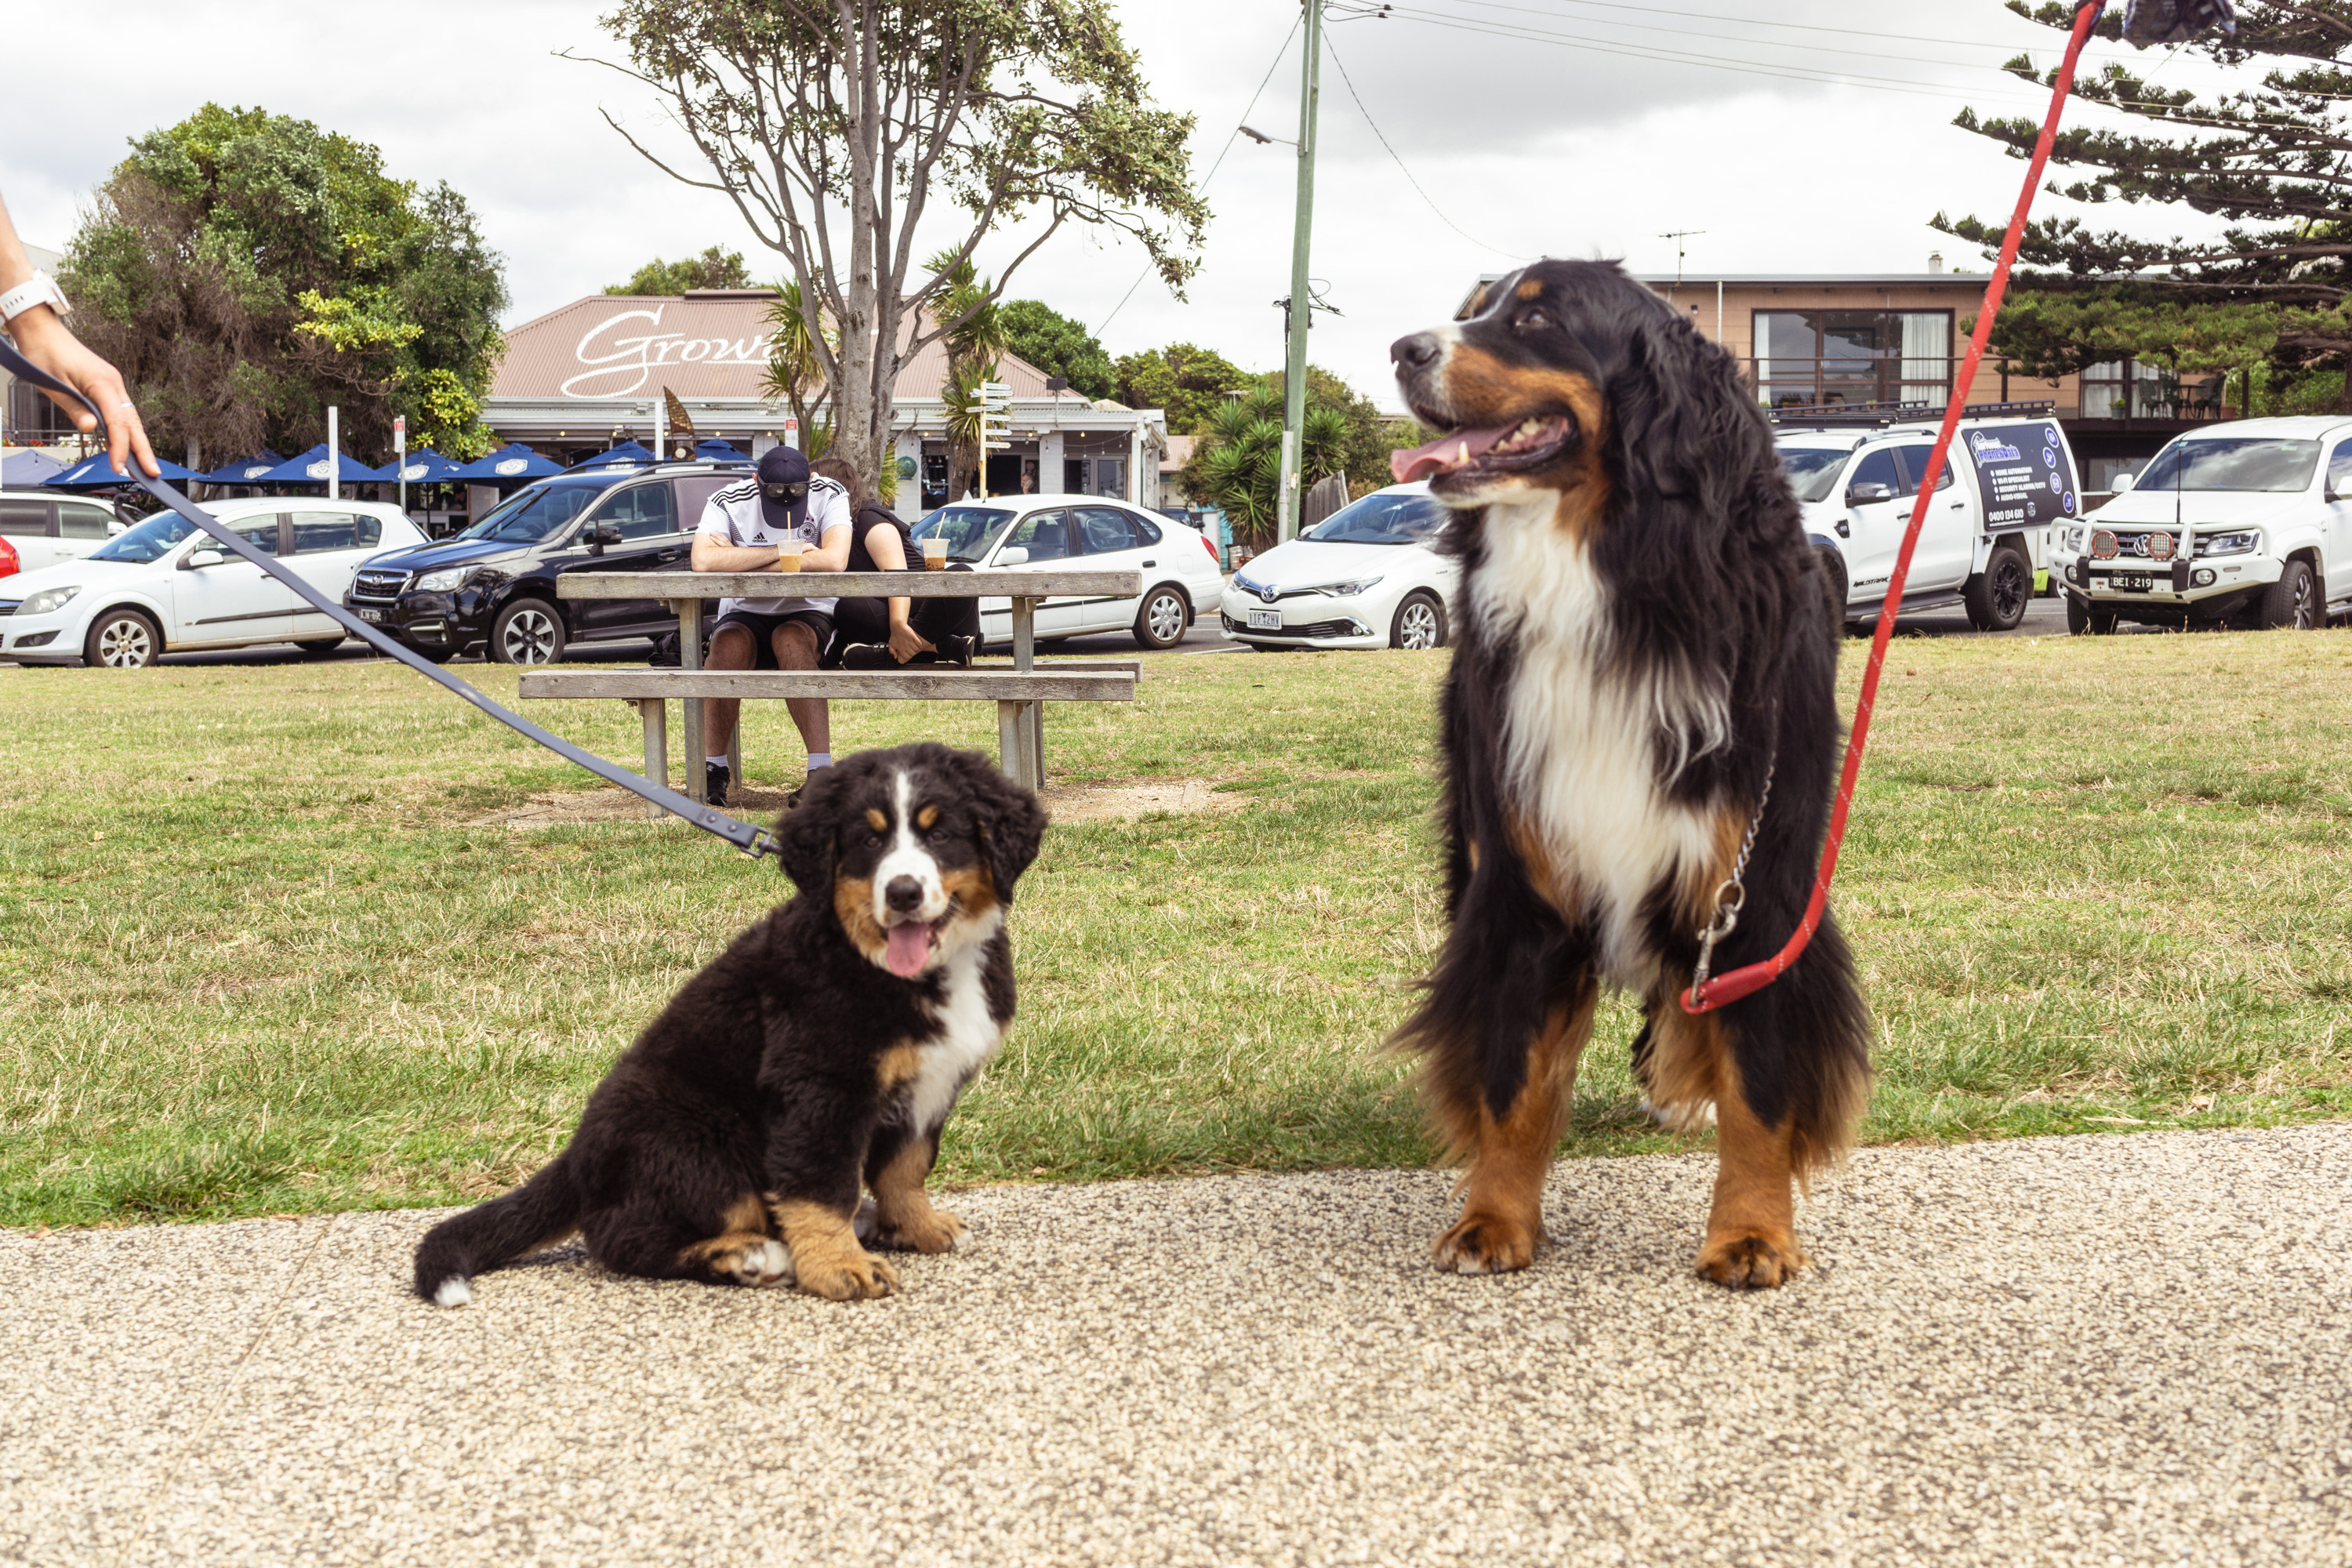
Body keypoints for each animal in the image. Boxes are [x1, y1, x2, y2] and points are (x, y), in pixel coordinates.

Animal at [414, 742, 1049, 1307]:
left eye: (940, 834)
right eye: (869, 841)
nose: (903, 893)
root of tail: (578, 1157)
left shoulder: (927, 1084)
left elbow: (906, 1168)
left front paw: (917, 1227)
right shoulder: (819, 1087)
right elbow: (823, 1188)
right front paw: (840, 1267)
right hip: (702, 1141)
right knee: (621, 1238)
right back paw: (749, 1255)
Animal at [1383, 257, 1863, 1288]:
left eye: (1537, 318)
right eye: (1475, 308)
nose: (1403, 347)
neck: (1613, 582)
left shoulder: (1756, 885)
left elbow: (1762, 1080)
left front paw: (1752, 1231)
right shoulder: (1523, 879)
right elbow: (1514, 1072)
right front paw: (1494, 1215)